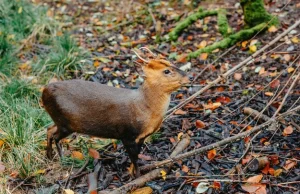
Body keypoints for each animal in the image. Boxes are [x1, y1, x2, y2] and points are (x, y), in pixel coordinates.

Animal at [42, 47, 190, 177]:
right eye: (167, 71)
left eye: (171, 63)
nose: (189, 77)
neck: (144, 108)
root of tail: (44, 91)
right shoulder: (127, 134)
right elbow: (134, 157)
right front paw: (136, 176)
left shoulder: (141, 136)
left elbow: (136, 155)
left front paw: (132, 172)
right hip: (66, 123)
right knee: (55, 136)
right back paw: (61, 158)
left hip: (60, 120)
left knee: (49, 129)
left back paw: (49, 156)